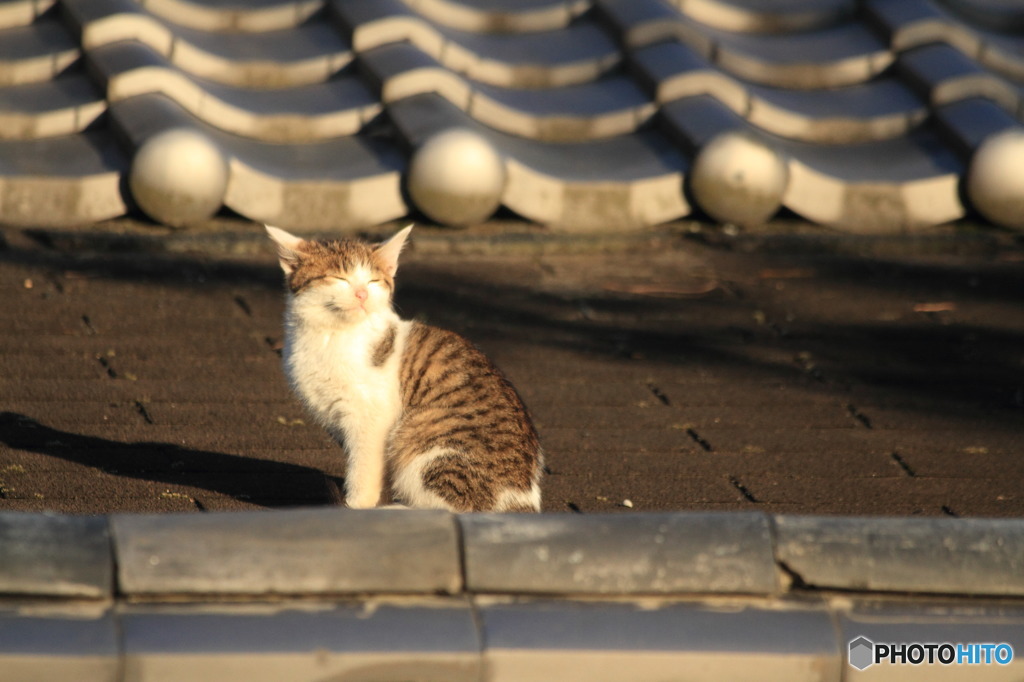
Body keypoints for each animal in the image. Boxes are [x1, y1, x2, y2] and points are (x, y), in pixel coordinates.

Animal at [266, 224, 544, 509]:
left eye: (373, 281)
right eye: (339, 278)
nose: (362, 294)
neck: (332, 335)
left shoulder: (371, 415)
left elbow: (363, 466)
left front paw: (355, 506)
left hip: (426, 444)